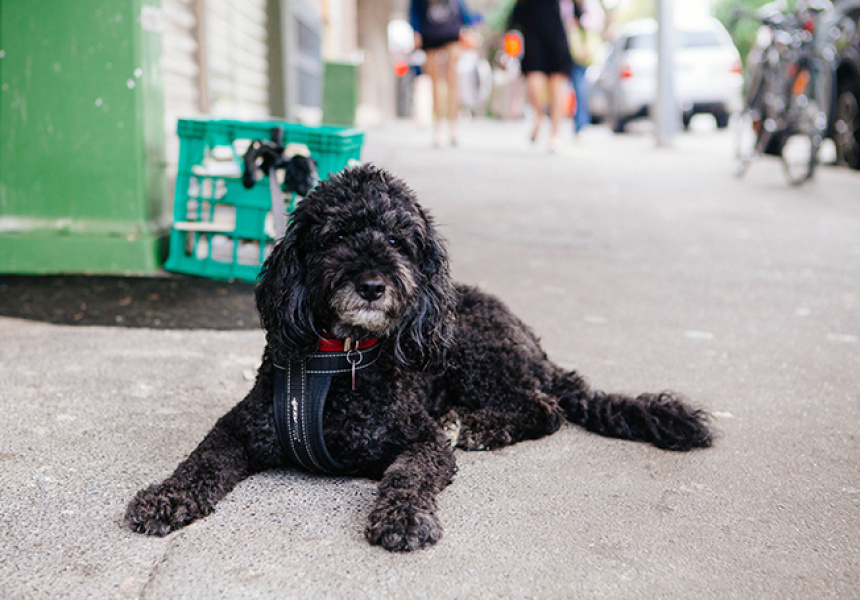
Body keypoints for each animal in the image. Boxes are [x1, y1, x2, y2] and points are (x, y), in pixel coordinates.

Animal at [124, 164, 708, 552]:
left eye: (398, 241)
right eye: (338, 234)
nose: (372, 285)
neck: (341, 361)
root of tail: (536, 346)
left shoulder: (420, 442)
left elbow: (409, 475)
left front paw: (403, 517)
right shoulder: (239, 427)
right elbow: (200, 460)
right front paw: (166, 496)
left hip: (474, 350)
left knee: (546, 408)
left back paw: (479, 426)